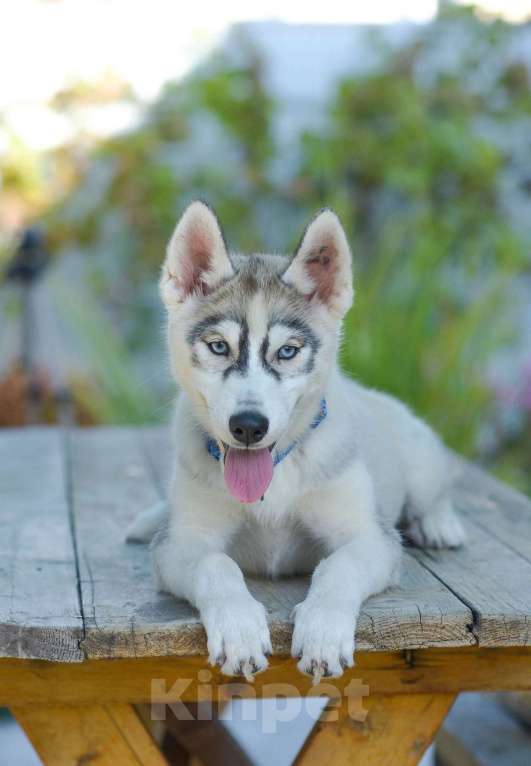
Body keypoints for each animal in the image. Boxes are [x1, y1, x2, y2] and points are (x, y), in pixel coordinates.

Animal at [129, 201, 466, 680]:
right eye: (218, 347)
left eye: (287, 351)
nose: (248, 426)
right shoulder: (181, 542)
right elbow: (217, 564)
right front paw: (238, 627)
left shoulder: (370, 537)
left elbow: (339, 566)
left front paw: (323, 630)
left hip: (419, 455)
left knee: (432, 491)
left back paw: (438, 524)